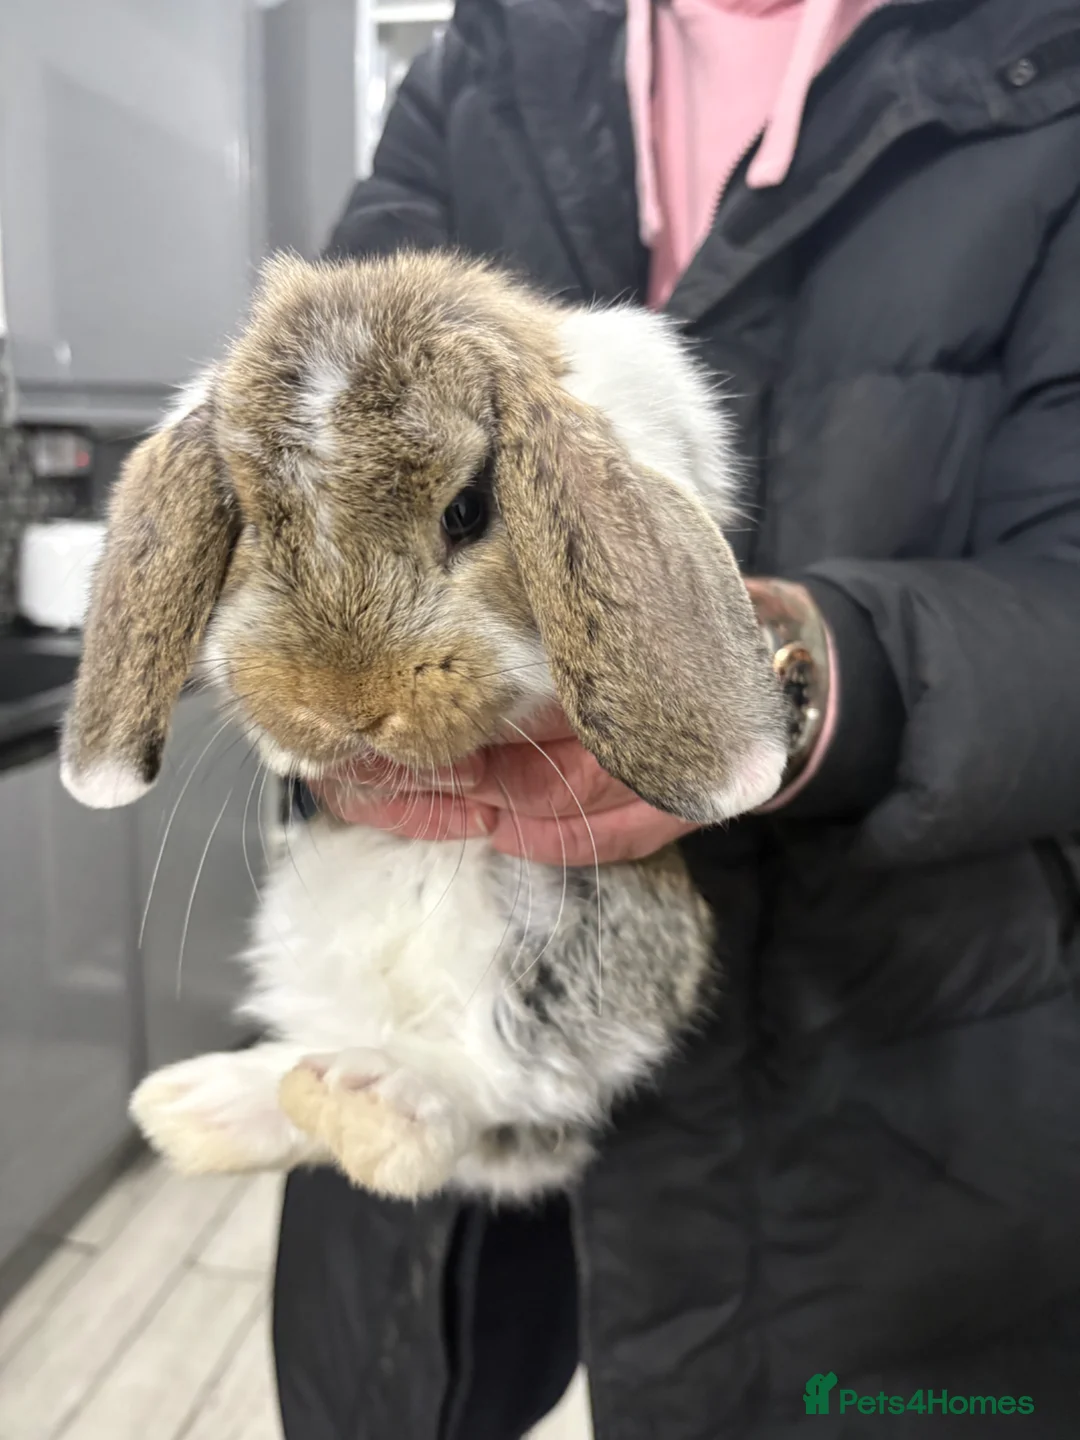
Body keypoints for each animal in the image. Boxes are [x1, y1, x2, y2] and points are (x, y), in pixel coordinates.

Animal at [60, 250, 787, 1201]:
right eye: (247, 521)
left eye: (468, 509)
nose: (345, 705)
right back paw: (205, 1105)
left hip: (577, 937)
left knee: (503, 1088)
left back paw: (374, 1102)